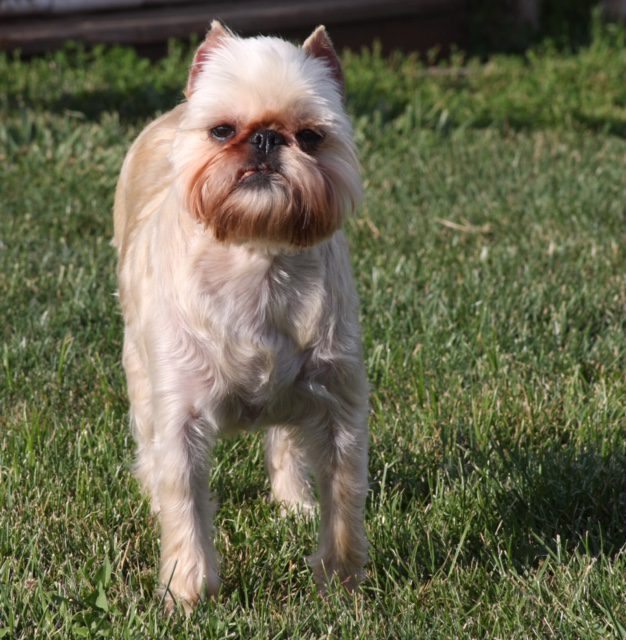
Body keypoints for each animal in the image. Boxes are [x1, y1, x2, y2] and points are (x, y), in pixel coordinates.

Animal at [112, 20, 368, 608]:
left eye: (311, 136)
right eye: (223, 130)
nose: (266, 138)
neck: (258, 257)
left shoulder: (337, 402)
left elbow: (343, 497)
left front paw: (340, 582)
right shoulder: (178, 411)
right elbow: (184, 496)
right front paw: (187, 590)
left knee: (284, 439)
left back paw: (293, 500)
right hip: (140, 369)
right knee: (150, 443)